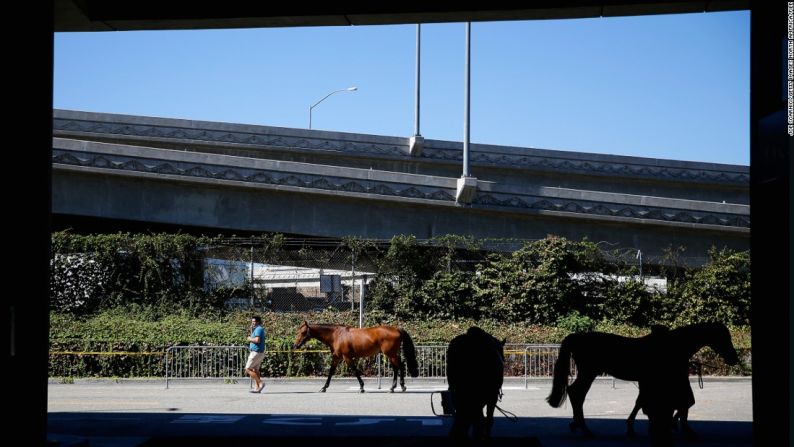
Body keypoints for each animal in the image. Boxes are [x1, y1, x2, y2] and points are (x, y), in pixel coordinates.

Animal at [544, 324, 736, 440]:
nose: (734, 358)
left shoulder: (648, 380)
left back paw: (577, 424)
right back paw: (584, 429)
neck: (671, 346)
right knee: (577, 394)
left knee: (575, 393)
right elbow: (666, 403)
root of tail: (576, 337)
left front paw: (633, 427)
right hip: (588, 373)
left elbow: (642, 402)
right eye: (723, 337)